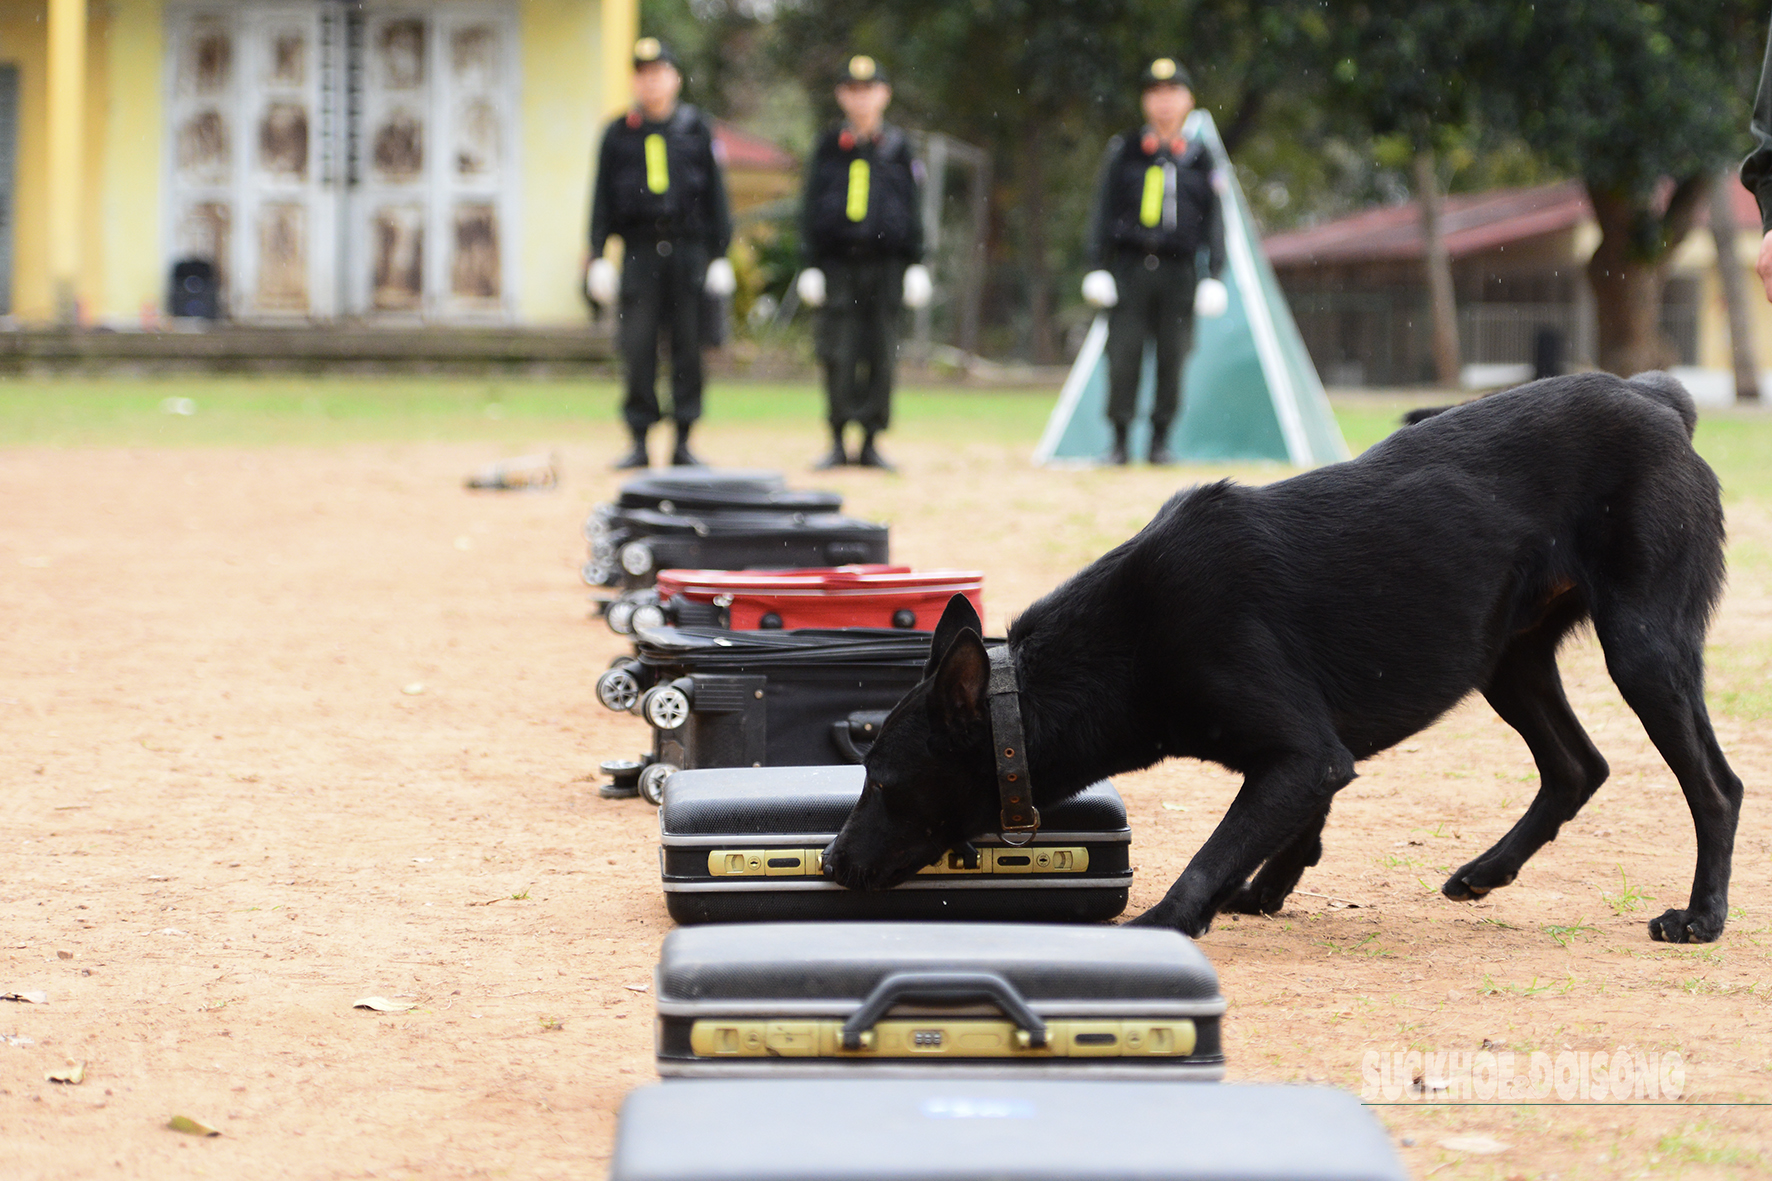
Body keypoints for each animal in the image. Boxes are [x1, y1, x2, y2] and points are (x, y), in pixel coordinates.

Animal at [829, 372, 1743, 943]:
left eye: (885, 780)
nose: (833, 860)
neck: (1127, 636)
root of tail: (1658, 400)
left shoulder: (1302, 752)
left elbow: (1213, 851)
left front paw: (1168, 922)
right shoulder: (1313, 754)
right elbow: (1294, 828)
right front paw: (1268, 887)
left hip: (1643, 649)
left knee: (1718, 787)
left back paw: (1700, 917)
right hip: (1508, 664)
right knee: (1578, 766)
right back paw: (1486, 871)